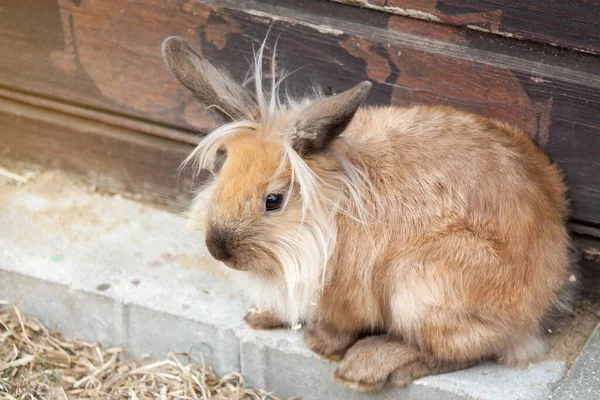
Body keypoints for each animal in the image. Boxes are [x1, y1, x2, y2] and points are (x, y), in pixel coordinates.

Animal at [161, 36, 576, 392]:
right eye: (223, 173)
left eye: (273, 201)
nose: (218, 249)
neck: (328, 209)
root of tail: (542, 297)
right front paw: (261, 315)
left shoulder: (346, 297)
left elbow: (337, 328)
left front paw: (318, 343)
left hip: (419, 287)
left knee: (460, 350)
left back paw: (366, 366)